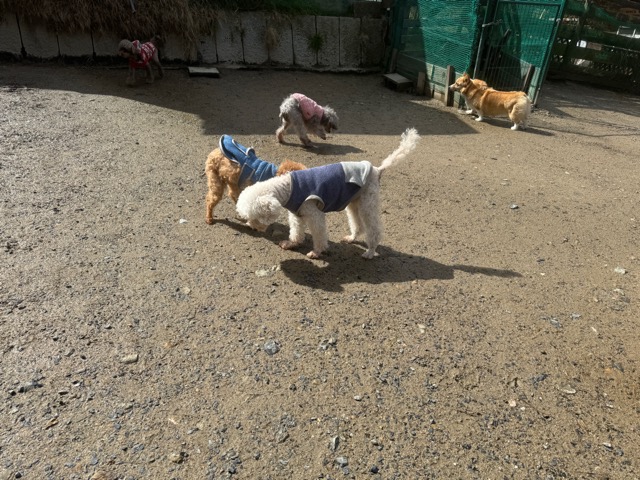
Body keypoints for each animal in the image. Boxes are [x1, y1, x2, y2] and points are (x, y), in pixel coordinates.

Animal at [236, 128, 420, 259]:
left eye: (255, 217)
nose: (252, 227)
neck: (289, 188)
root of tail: (376, 170)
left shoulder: (314, 214)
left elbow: (319, 235)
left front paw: (317, 252)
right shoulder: (297, 215)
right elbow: (296, 232)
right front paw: (291, 244)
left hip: (368, 204)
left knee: (374, 230)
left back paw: (370, 252)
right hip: (354, 203)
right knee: (357, 224)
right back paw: (352, 238)